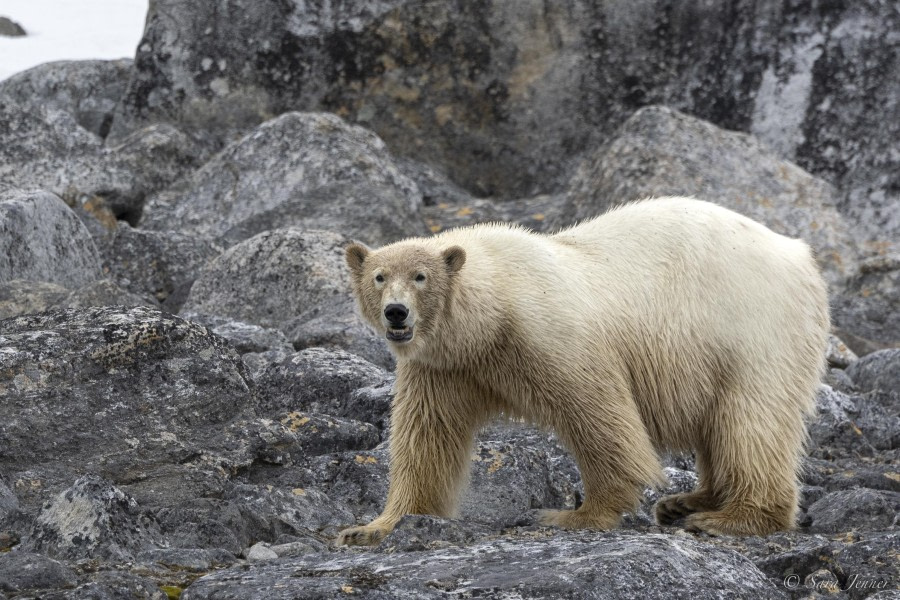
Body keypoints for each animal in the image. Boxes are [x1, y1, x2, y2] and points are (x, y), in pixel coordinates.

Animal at [336, 196, 828, 544]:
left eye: (420, 276)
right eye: (379, 276)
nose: (396, 313)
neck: (493, 312)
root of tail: (799, 253)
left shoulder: (550, 333)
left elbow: (599, 416)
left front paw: (575, 514)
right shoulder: (446, 365)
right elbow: (426, 439)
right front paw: (371, 528)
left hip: (753, 329)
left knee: (751, 421)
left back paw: (728, 517)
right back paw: (684, 503)